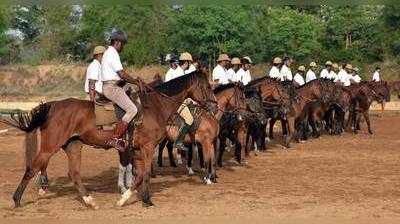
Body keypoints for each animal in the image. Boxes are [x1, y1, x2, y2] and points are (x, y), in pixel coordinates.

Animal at [3, 69, 216, 208]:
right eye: (207, 86)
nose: (214, 105)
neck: (155, 107)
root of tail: (54, 105)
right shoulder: (147, 147)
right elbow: (143, 174)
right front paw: (132, 200)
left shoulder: (136, 150)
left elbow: (140, 175)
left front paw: (138, 198)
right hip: (50, 146)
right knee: (32, 168)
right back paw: (17, 200)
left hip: (73, 146)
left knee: (74, 173)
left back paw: (89, 201)